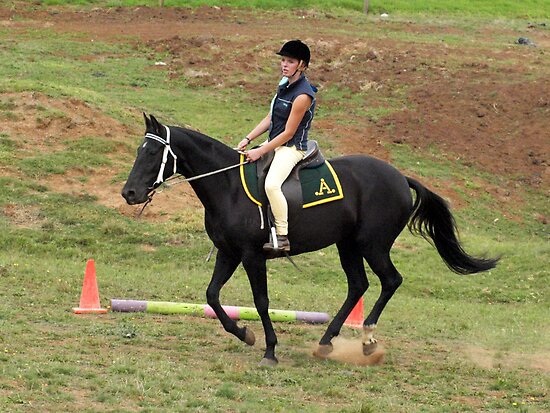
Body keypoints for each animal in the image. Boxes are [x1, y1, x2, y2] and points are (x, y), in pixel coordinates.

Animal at [122, 114, 500, 366]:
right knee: (358, 285)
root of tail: (398, 176)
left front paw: (270, 350)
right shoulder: (228, 253)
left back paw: (367, 339)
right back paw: (326, 342)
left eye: (152, 154)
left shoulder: (251, 256)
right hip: (348, 245)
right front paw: (244, 334)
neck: (227, 186)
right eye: (140, 151)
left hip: (372, 245)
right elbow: (212, 296)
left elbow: (261, 301)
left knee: (390, 281)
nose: (129, 193)